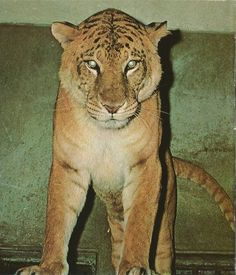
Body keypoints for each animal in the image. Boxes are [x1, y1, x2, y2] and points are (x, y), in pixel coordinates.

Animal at [17, 8, 234, 275]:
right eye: (92, 65)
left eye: (131, 65)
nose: (112, 107)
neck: (107, 134)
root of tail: (170, 156)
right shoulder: (68, 164)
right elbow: (57, 220)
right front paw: (47, 267)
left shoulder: (145, 165)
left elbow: (140, 220)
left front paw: (136, 267)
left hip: (165, 226)